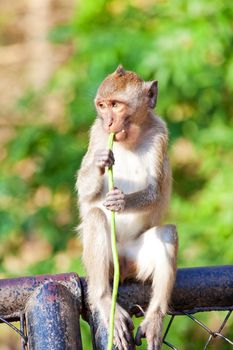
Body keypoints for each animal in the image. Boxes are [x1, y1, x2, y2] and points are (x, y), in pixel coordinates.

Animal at [77, 65, 178, 350]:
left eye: (116, 105)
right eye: (102, 106)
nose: (108, 122)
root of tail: (122, 261)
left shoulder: (159, 133)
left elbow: (155, 192)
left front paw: (121, 202)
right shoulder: (97, 135)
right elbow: (83, 190)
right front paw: (100, 162)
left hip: (136, 256)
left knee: (167, 233)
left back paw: (155, 316)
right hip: (105, 262)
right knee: (95, 217)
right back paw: (102, 298)